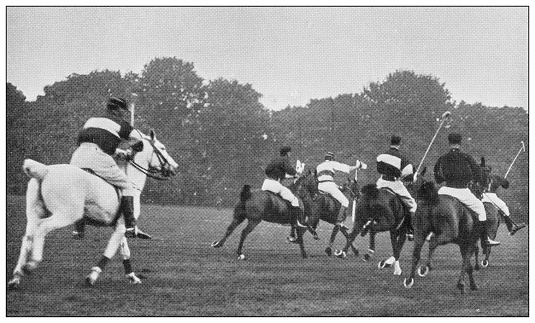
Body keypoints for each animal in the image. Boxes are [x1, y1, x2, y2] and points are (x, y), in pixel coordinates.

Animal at [6, 130, 178, 290]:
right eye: (162, 147)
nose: (175, 167)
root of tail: (45, 171)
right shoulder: (122, 226)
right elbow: (110, 251)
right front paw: (92, 276)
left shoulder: (120, 226)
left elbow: (124, 251)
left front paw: (132, 277)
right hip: (66, 214)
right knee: (42, 228)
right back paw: (31, 264)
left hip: (34, 214)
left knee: (28, 237)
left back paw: (16, 277)